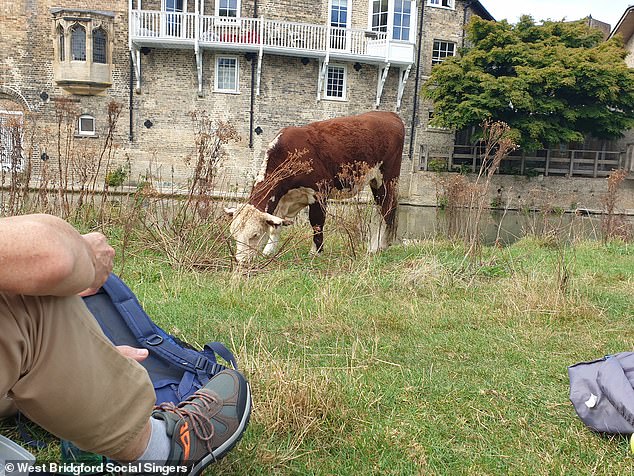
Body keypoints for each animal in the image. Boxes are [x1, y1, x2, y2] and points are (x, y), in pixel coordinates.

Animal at [225, 111, 402, 264]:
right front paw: (269, 252)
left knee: (387, 209)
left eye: (255, 235)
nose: (241, 261)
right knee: (381, 210)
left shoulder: (319, 192)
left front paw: (315, 252)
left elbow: (317, 223)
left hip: (387, 179)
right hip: (376, 182)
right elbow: (276, 227)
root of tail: (388, 114)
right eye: (234, 234)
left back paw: (377, 247)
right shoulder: (281, 200)